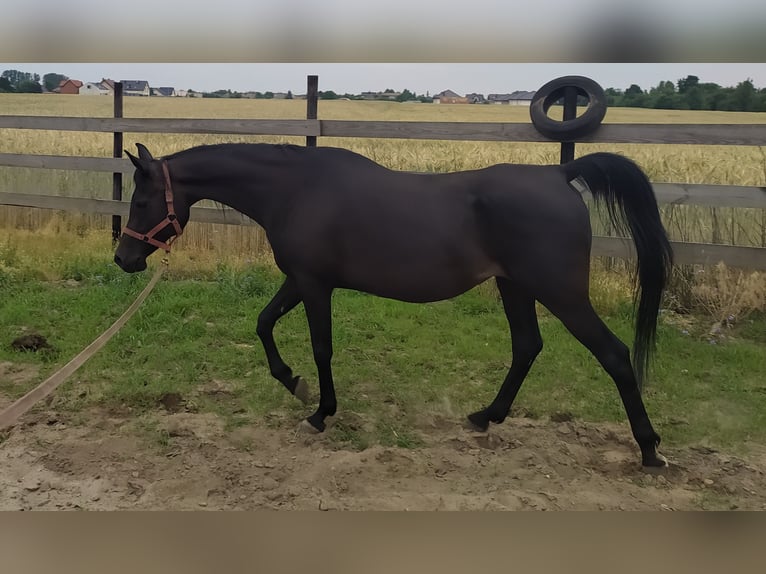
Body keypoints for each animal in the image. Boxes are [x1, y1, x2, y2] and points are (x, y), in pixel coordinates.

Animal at [114, 142, 672, 468]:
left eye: (140, 201)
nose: (124, 259)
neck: (296, 189)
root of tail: (559, 176)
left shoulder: (314, 285)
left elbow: (321, 347)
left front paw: (320, 412)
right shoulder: (300, 279)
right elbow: (263, 322)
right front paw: (293, 382)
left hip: (560, 292)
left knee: (614, 354)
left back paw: (649, 450)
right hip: (515, 287)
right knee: (527, 347)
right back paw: (486, 417)